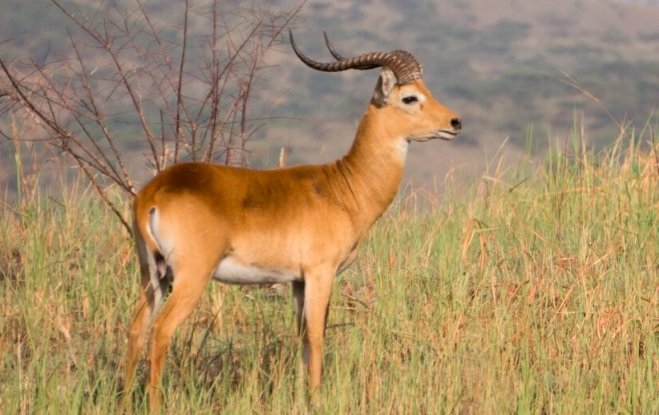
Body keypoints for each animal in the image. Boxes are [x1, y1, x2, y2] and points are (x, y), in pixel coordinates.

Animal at [125, 30, 464, 412]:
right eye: (410, 97)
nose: (455, 122)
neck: (343, 186)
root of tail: (153, 193)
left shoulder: (297, 281)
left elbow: (302, 337)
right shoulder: (320, 273)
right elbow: (317, 335)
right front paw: (317, 399)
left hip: (153, 276)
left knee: (136, 328)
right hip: (190, 276)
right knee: (161, 330)